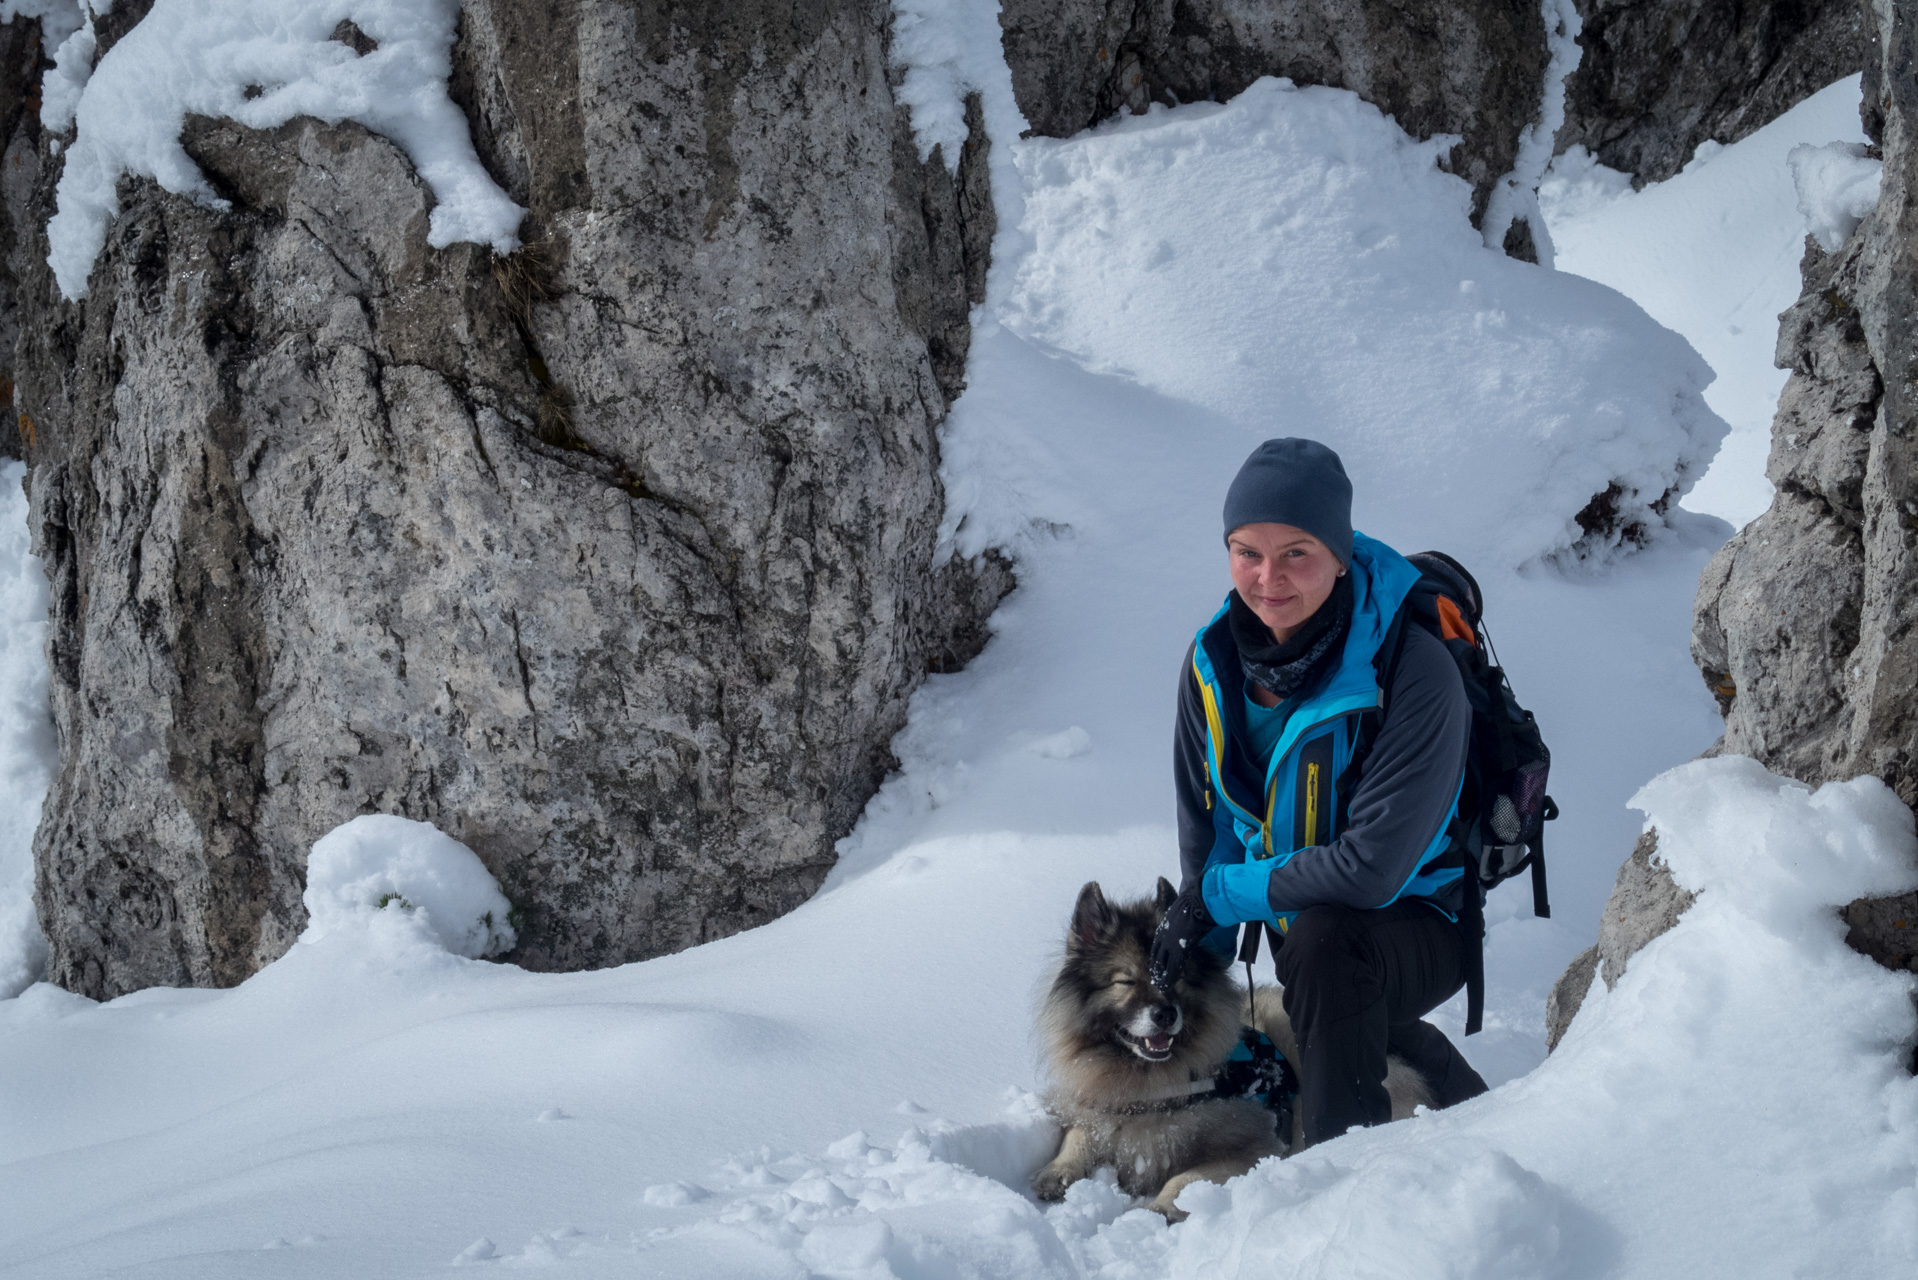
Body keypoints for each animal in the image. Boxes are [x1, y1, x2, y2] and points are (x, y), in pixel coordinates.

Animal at [1035, 882, 1426, 1220]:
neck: (1152, 1087)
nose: (1166, 1014)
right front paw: (1057, 1170)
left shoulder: (1252, 1150)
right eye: (1126, 981)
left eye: (1176, 977)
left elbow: (1185, 1178)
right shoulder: (1098, 1110)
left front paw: (1157, 1208)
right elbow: (1078, 1136)